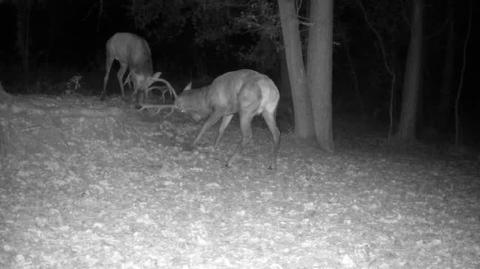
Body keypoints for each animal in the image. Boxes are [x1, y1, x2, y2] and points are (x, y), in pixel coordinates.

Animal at [139, 69, 280, 170]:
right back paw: (272, 164)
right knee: (276, 133)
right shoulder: (229, 111)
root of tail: (270, 89)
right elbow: (221, 129)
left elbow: (206, 126)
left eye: (182, 110)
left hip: (246, 109)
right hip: (269, 110)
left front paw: (192, 144)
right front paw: (214, 146)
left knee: (248, 135)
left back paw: (229, 162)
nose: (195, 118)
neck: (206, 98)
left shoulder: (219, 108)